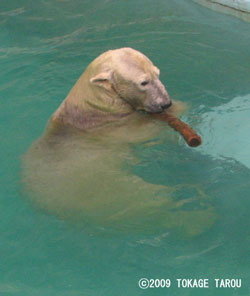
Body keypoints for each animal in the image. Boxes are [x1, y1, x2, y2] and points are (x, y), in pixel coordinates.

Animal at [22, 48, 216, 238]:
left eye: (157, 73)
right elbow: (142, 131)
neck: (93, 100)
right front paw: (180, 107)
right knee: (149, 201)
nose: (165, 103)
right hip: (106, 189)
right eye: (143, 82)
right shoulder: (112, 125)